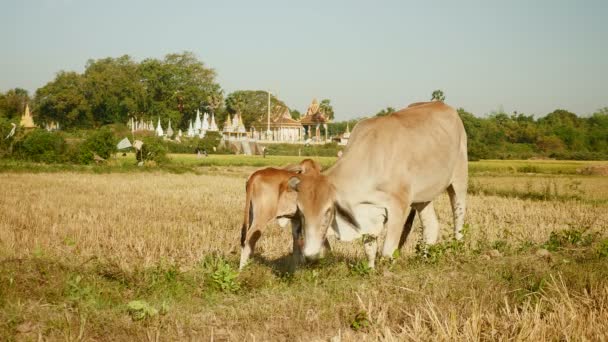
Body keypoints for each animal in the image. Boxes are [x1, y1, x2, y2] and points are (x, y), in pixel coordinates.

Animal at [288, 101, 468, 268]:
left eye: (327, 211)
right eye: (302, 212)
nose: (310, 254)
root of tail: (446, 106)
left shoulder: (398, 206)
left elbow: (388, 251)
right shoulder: (367, 212)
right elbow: (369, 247)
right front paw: (370, 269)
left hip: (459, 178)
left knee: (458, 216)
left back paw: (458, 249)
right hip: (423, 197)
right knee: (431, 225)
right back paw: (425, 259)